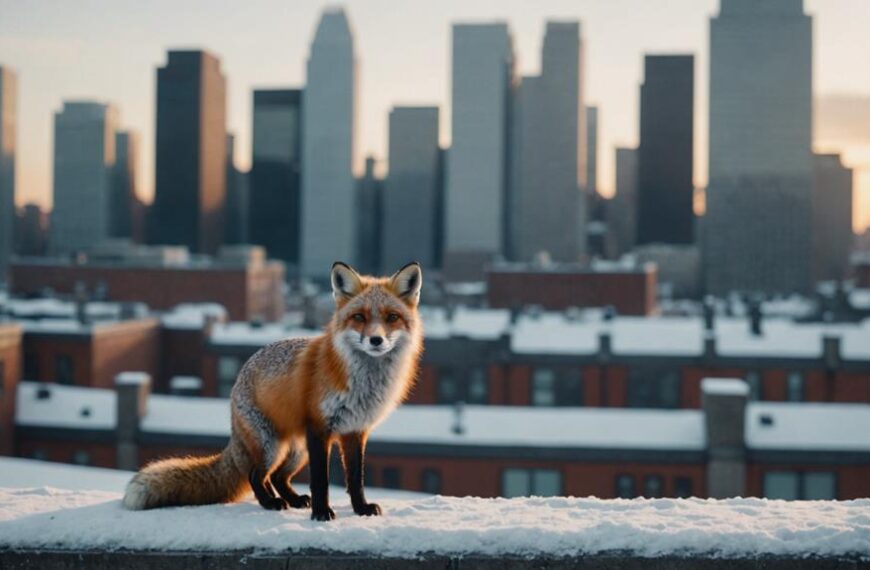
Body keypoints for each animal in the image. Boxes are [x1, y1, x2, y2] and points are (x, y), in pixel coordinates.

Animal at [122, 261, 424, 521]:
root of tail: (237, 382)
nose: (376, 340)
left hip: (295, 450)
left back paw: (292, 499)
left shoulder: (355, 431)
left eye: (392, 317)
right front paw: (321, 514)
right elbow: (321, 481)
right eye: (359, 317)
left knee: (277, 477)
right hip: (272, 446)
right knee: (256, 475)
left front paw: (361, 509)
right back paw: (270, 503)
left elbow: (355, 479)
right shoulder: (320, 428)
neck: (364, 382)